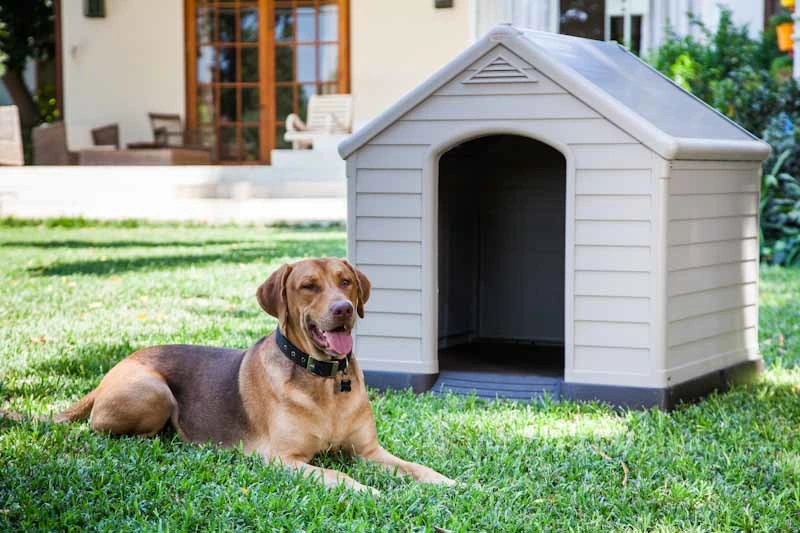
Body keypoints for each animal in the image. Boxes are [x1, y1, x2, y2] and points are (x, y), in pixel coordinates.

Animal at [54, 256, 456, 492]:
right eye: (308, 286)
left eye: (346, 282)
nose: (343, 309)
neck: (324, 380)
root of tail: (114, 369)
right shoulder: (285, 459)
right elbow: (339, 476)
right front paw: (368, 491)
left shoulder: (369, 451)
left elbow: (414, 466)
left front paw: (449, 482)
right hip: (153, 390)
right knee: (104, 427)